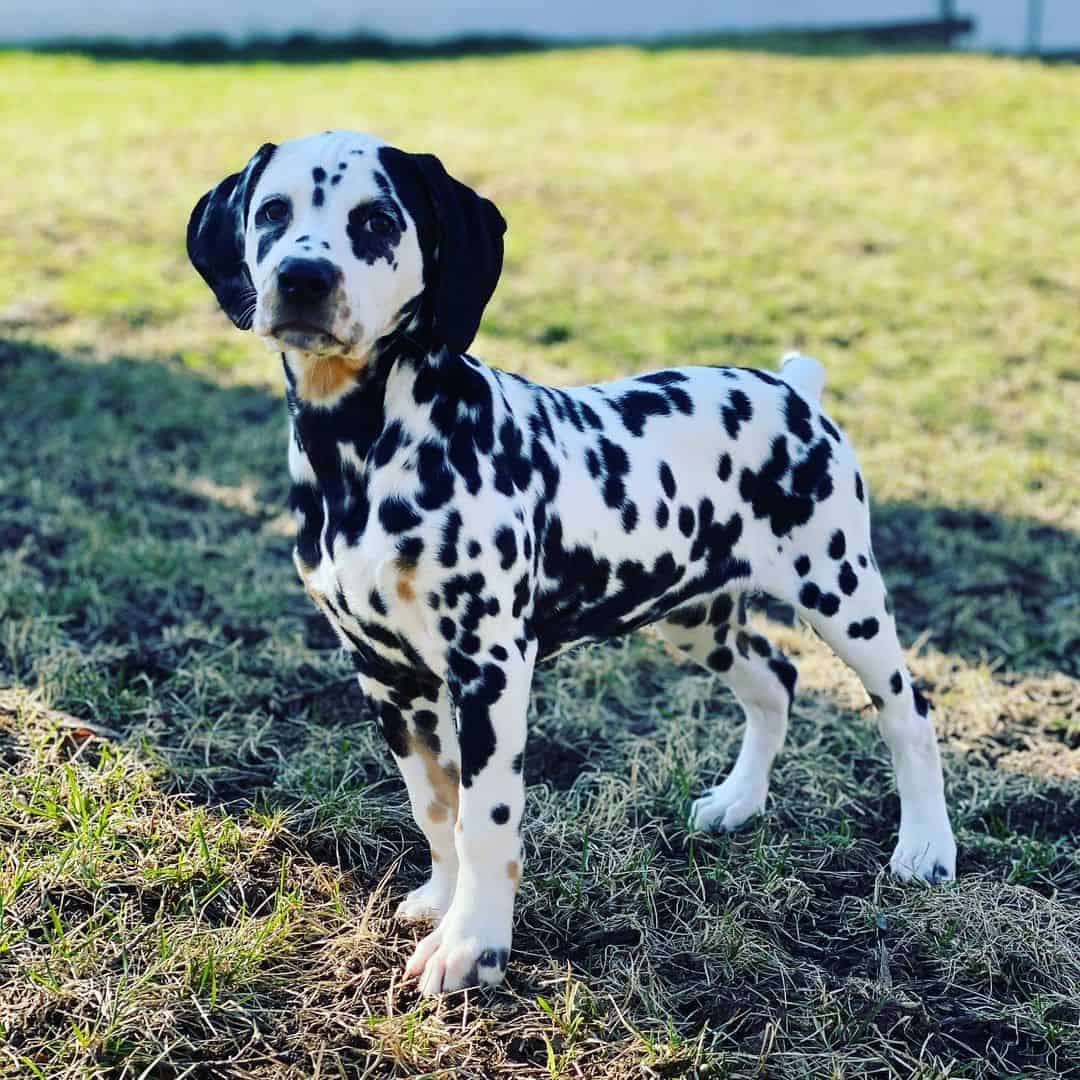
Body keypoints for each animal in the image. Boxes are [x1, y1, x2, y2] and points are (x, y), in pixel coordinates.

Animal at [190, 132, 959, 993]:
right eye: (273, 211)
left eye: (378, 220)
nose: (302, 278)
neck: (363, 452)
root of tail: (795, 390)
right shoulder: (386, 674)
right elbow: (437, 807)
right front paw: (444, 901)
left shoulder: (489, 669)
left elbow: (487, 817)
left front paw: (475, 944)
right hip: (695, 616)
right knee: (774, 681)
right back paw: (738, 802)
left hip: (840, 590)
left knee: (907, 711)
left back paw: (926, 847)